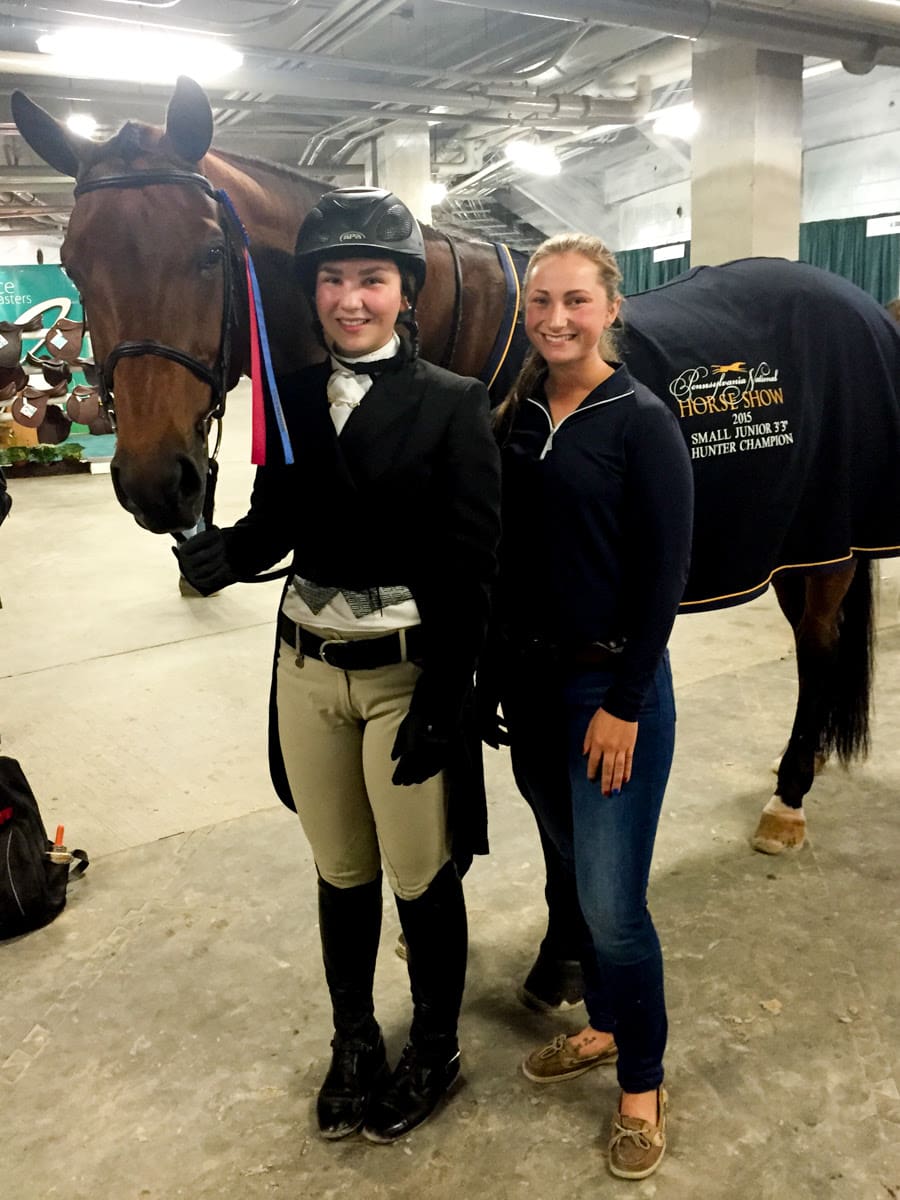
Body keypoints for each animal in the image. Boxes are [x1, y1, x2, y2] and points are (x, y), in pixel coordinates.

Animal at [12, 77, 900, 866]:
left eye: (205, 254)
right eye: (74, 263)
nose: (154, 482)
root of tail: (854, 300)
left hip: (827, 548)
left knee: (818, 645)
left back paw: (789, 797)